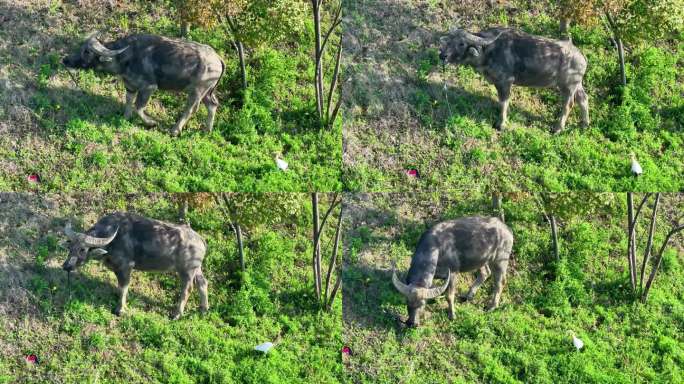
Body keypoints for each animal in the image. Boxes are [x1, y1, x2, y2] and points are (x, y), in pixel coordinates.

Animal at [63, 32, 224, 136]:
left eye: (87, 52)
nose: (66, 60)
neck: (127, 58)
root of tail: (218, 59)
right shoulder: (130, 86)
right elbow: (129, 101)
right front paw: (126, 117)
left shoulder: (148, 87)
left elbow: (139, 107)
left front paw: (151, 123)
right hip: (207, 92)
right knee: (212, 105)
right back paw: (207, 130)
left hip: (197, 90)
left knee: (190, 108)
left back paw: (174, 130)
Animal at [63, 212, 208, 320]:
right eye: (70, 247)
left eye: (83, 249)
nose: (66, 266)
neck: (113, 239)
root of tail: (201, 240)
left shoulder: (125, 268)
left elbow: (124, 287)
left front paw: (120, 309)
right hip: (196, 269)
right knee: (202, 283)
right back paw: (203, 309)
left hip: (187, 271)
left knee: (187, 289)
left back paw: (176, 314)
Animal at [440, 28, 592, 134]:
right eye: (449, 41)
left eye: (461, 43)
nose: (443, 55)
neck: (489, 51)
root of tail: (582, 57)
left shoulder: (505, 82)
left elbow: (504, 102)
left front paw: (501, 124)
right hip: (577, 85)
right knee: (583, 99)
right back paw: (584, 124)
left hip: (567, 87)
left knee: (568, 105)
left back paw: (557, 128)